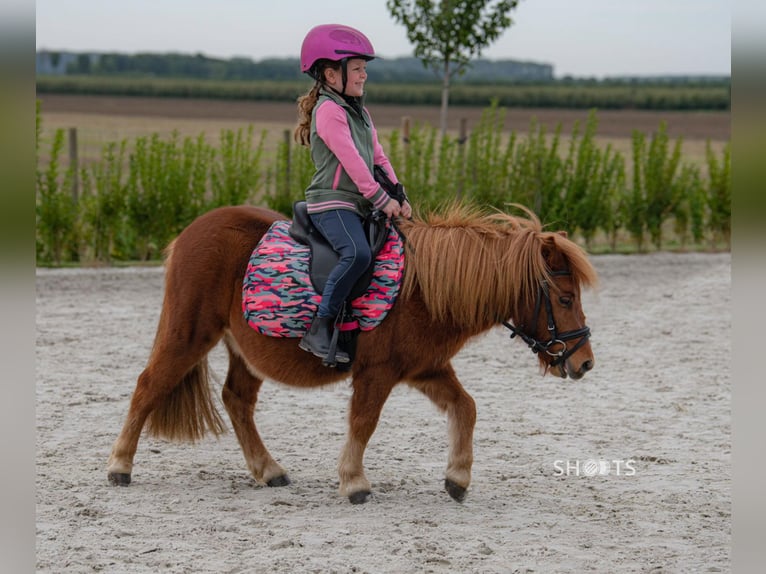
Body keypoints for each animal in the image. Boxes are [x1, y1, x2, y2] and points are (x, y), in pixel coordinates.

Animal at [106, 205, 600, 506]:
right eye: (564, 297)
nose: (584, 362)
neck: (422, 289)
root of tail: (191, 232)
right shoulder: (377, 374)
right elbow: (364, 422)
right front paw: (354, 481)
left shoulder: (426, 369)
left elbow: (466, 407)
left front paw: (457, 479)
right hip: (188, 334)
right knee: (149, 386)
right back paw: (119, 466)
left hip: (245, 350)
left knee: (237, 401)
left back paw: (268, 470)